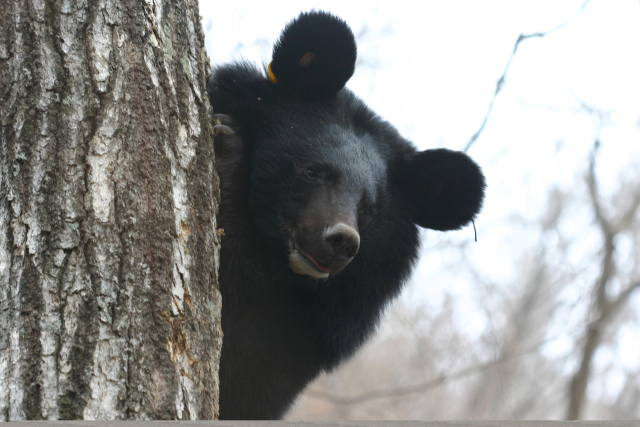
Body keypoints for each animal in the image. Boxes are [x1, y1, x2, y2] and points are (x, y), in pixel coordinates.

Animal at [209, 10, 484, 422]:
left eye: (369, 209)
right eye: (313, 171)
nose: (341, 241)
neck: (281, 273)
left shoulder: (316, 330)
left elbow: (247, 380)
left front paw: (227, 149)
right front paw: (225, 136)